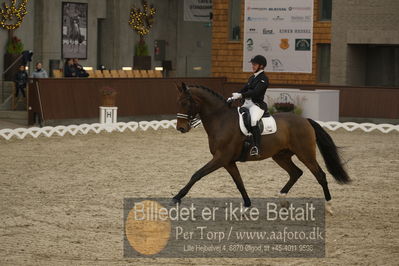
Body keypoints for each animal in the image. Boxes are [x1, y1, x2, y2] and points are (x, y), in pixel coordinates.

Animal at [173, 82, 352, 213]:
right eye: (178, 102)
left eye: (185, 103)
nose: (180, 128)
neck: (221, 120)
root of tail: (305, 120)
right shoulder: (228, 161)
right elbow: (239, 182)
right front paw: (247, 206)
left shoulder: (221, 158)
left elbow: (197, 174)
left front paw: (176, 197)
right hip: (281, 156)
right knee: (296, 173)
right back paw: (282, 200)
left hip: (305, 154)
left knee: (320, 175)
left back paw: (329, 206)